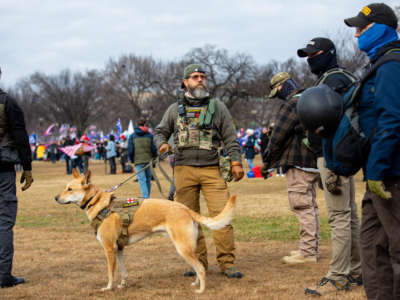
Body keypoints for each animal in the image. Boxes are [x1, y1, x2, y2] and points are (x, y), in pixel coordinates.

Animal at [53, 170, 234, 294]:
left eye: (69, 189)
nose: (55, 198)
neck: (99, 204)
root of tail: (185, 208)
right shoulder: (119, 249)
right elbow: (123, 271)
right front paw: (123, 285)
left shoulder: (109, 249)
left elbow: (111, 273)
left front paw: (108, 288)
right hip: (188, 249)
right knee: (199, 266)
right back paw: (196, 283)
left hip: (183, 249)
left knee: (201, 268)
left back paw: (201, 290)